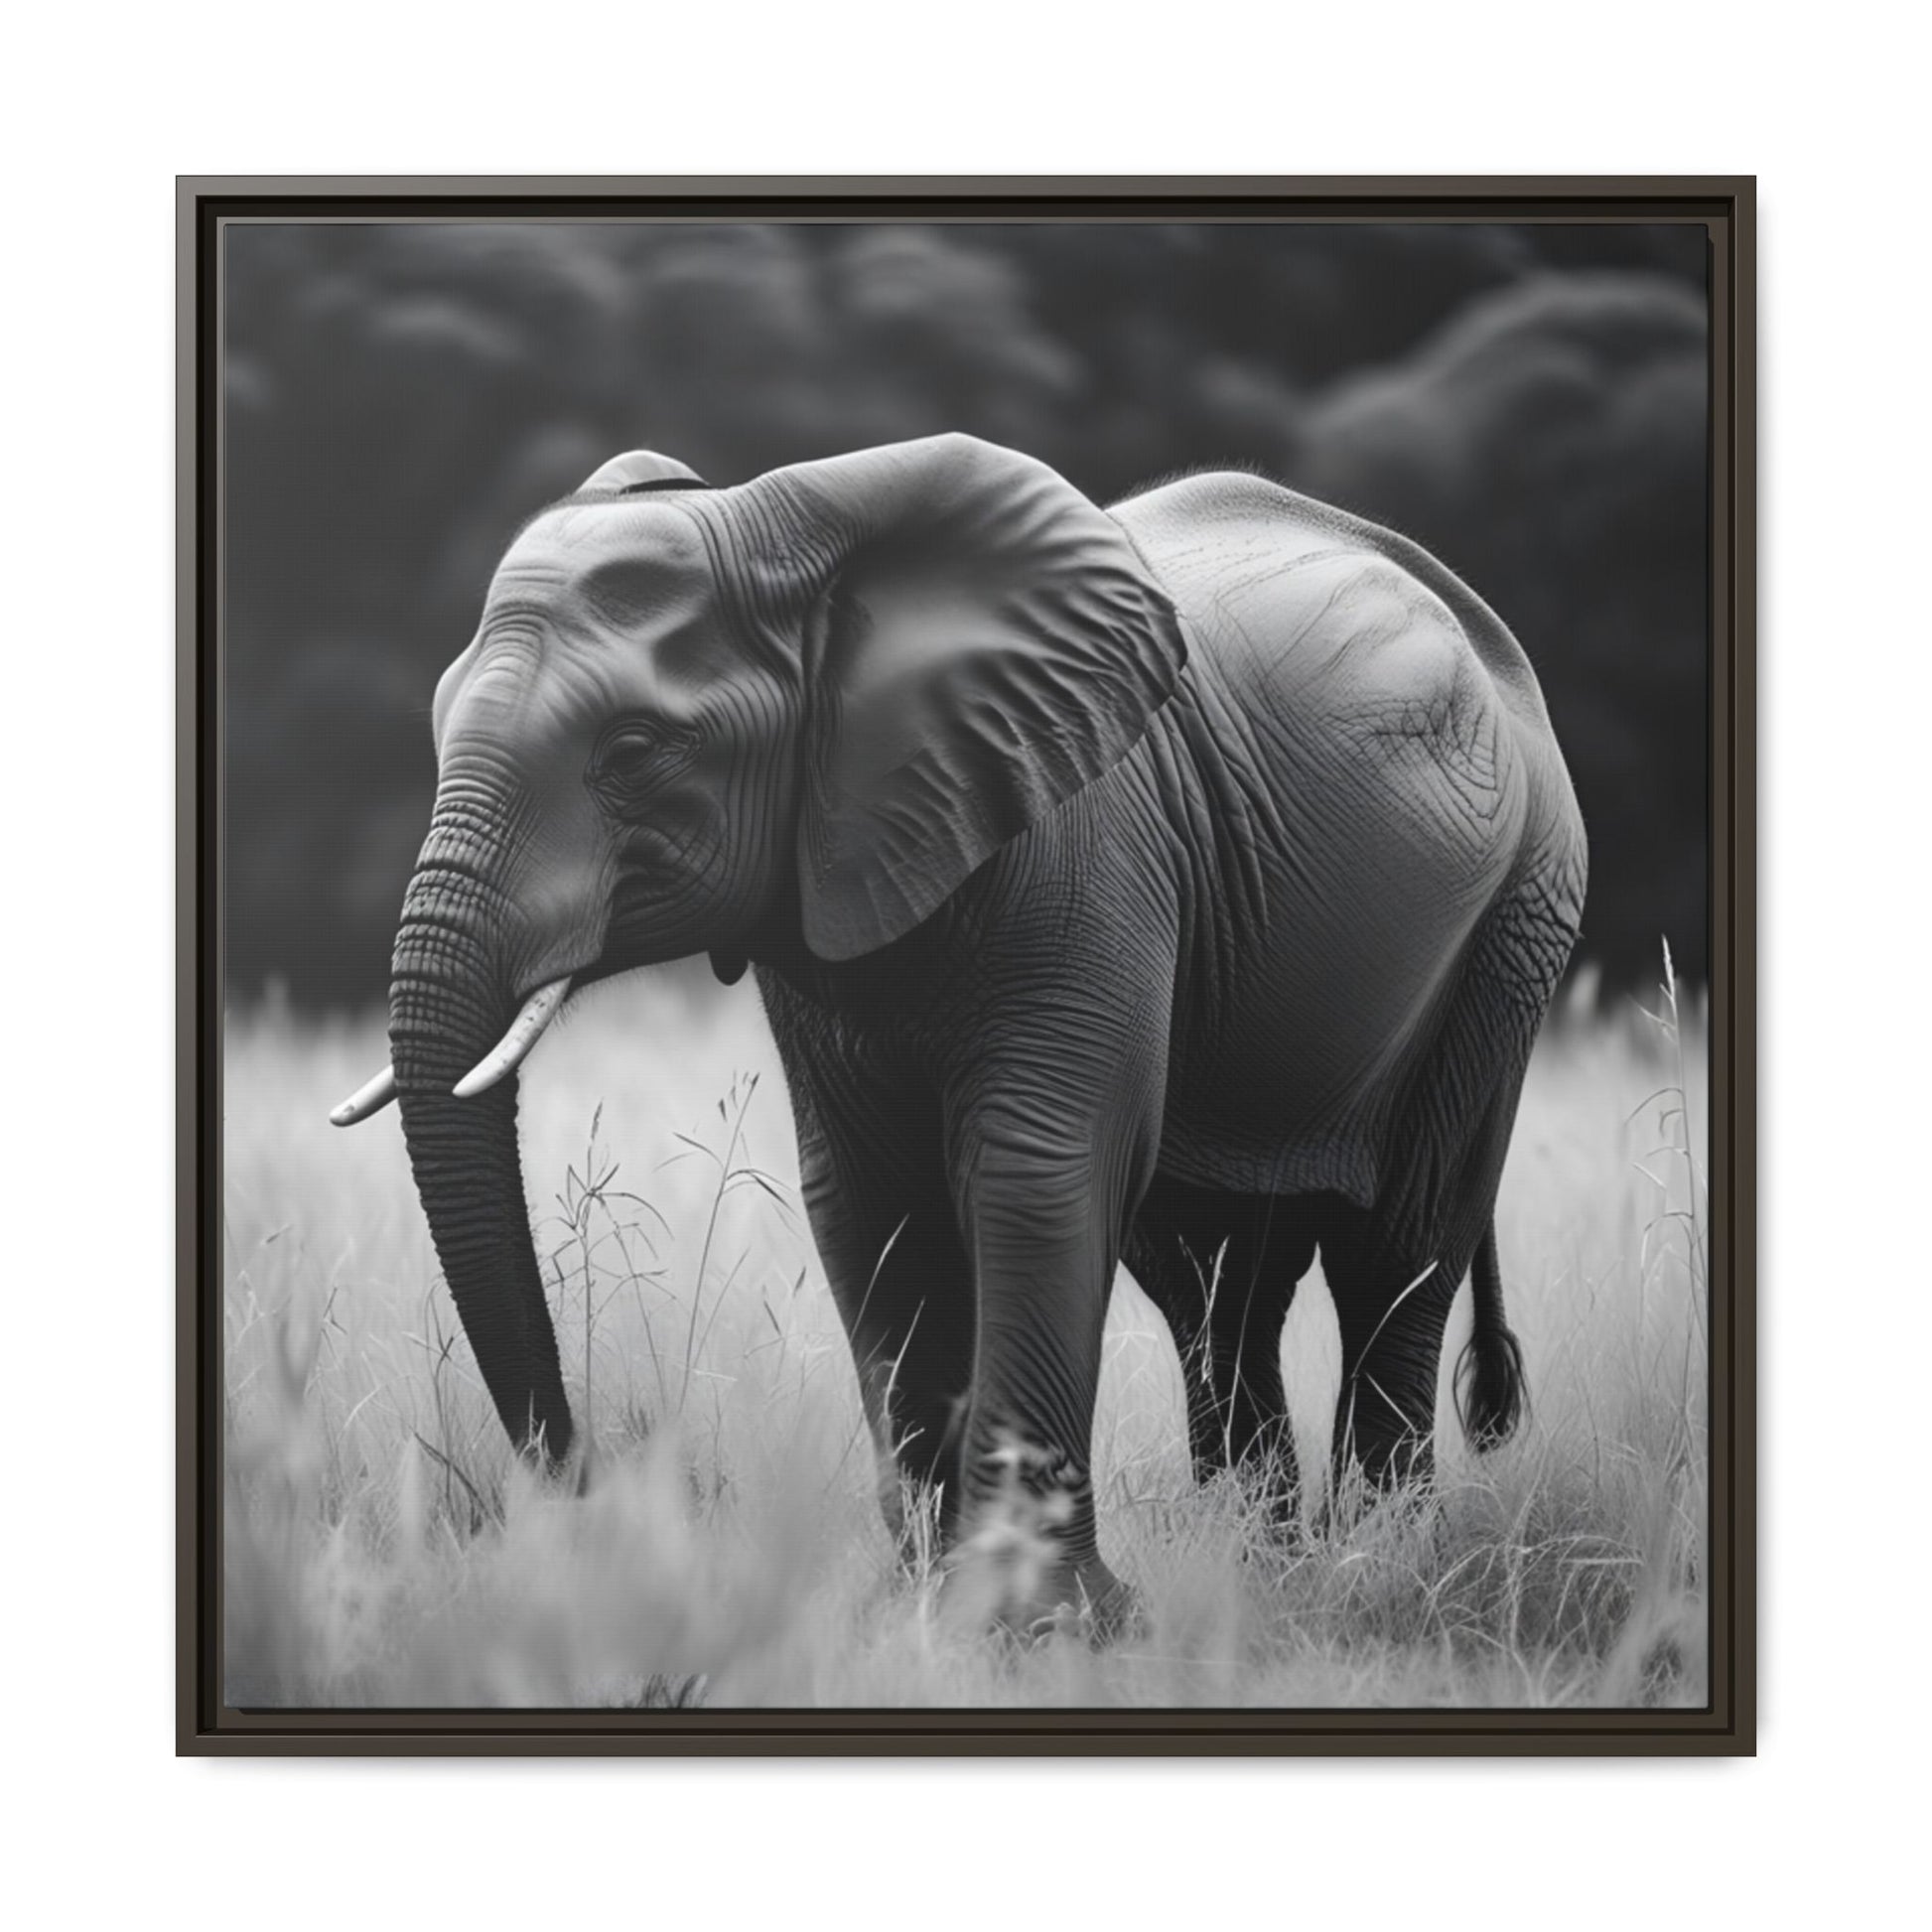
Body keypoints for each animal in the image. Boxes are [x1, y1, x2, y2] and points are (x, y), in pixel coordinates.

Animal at [333, 433, 1587, 1634]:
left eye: (634, 750)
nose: (599, 1499)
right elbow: (865, 1198)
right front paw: (921, 1607)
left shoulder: (1086, 846)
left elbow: (1034, 1172)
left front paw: (1038, 1627)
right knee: (1212, 1277)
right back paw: (1259, 1564)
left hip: (1516, 917)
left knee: (1398, 1245)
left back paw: (1375, 1566)